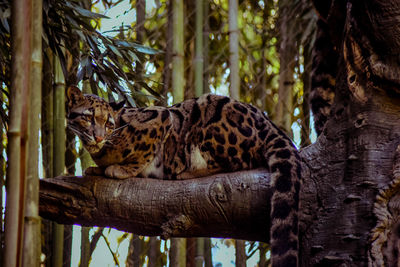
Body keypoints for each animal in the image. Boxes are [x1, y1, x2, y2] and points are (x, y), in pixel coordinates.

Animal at [67, 86, 302, 267]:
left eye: (108, 124)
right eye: (87, 118)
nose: (99, 137)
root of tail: (268, 122)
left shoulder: (160, 116)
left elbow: (145, 152)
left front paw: (122, 169)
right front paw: (95, 168)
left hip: (211, 115)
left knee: (238, 162)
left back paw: (187, 171)